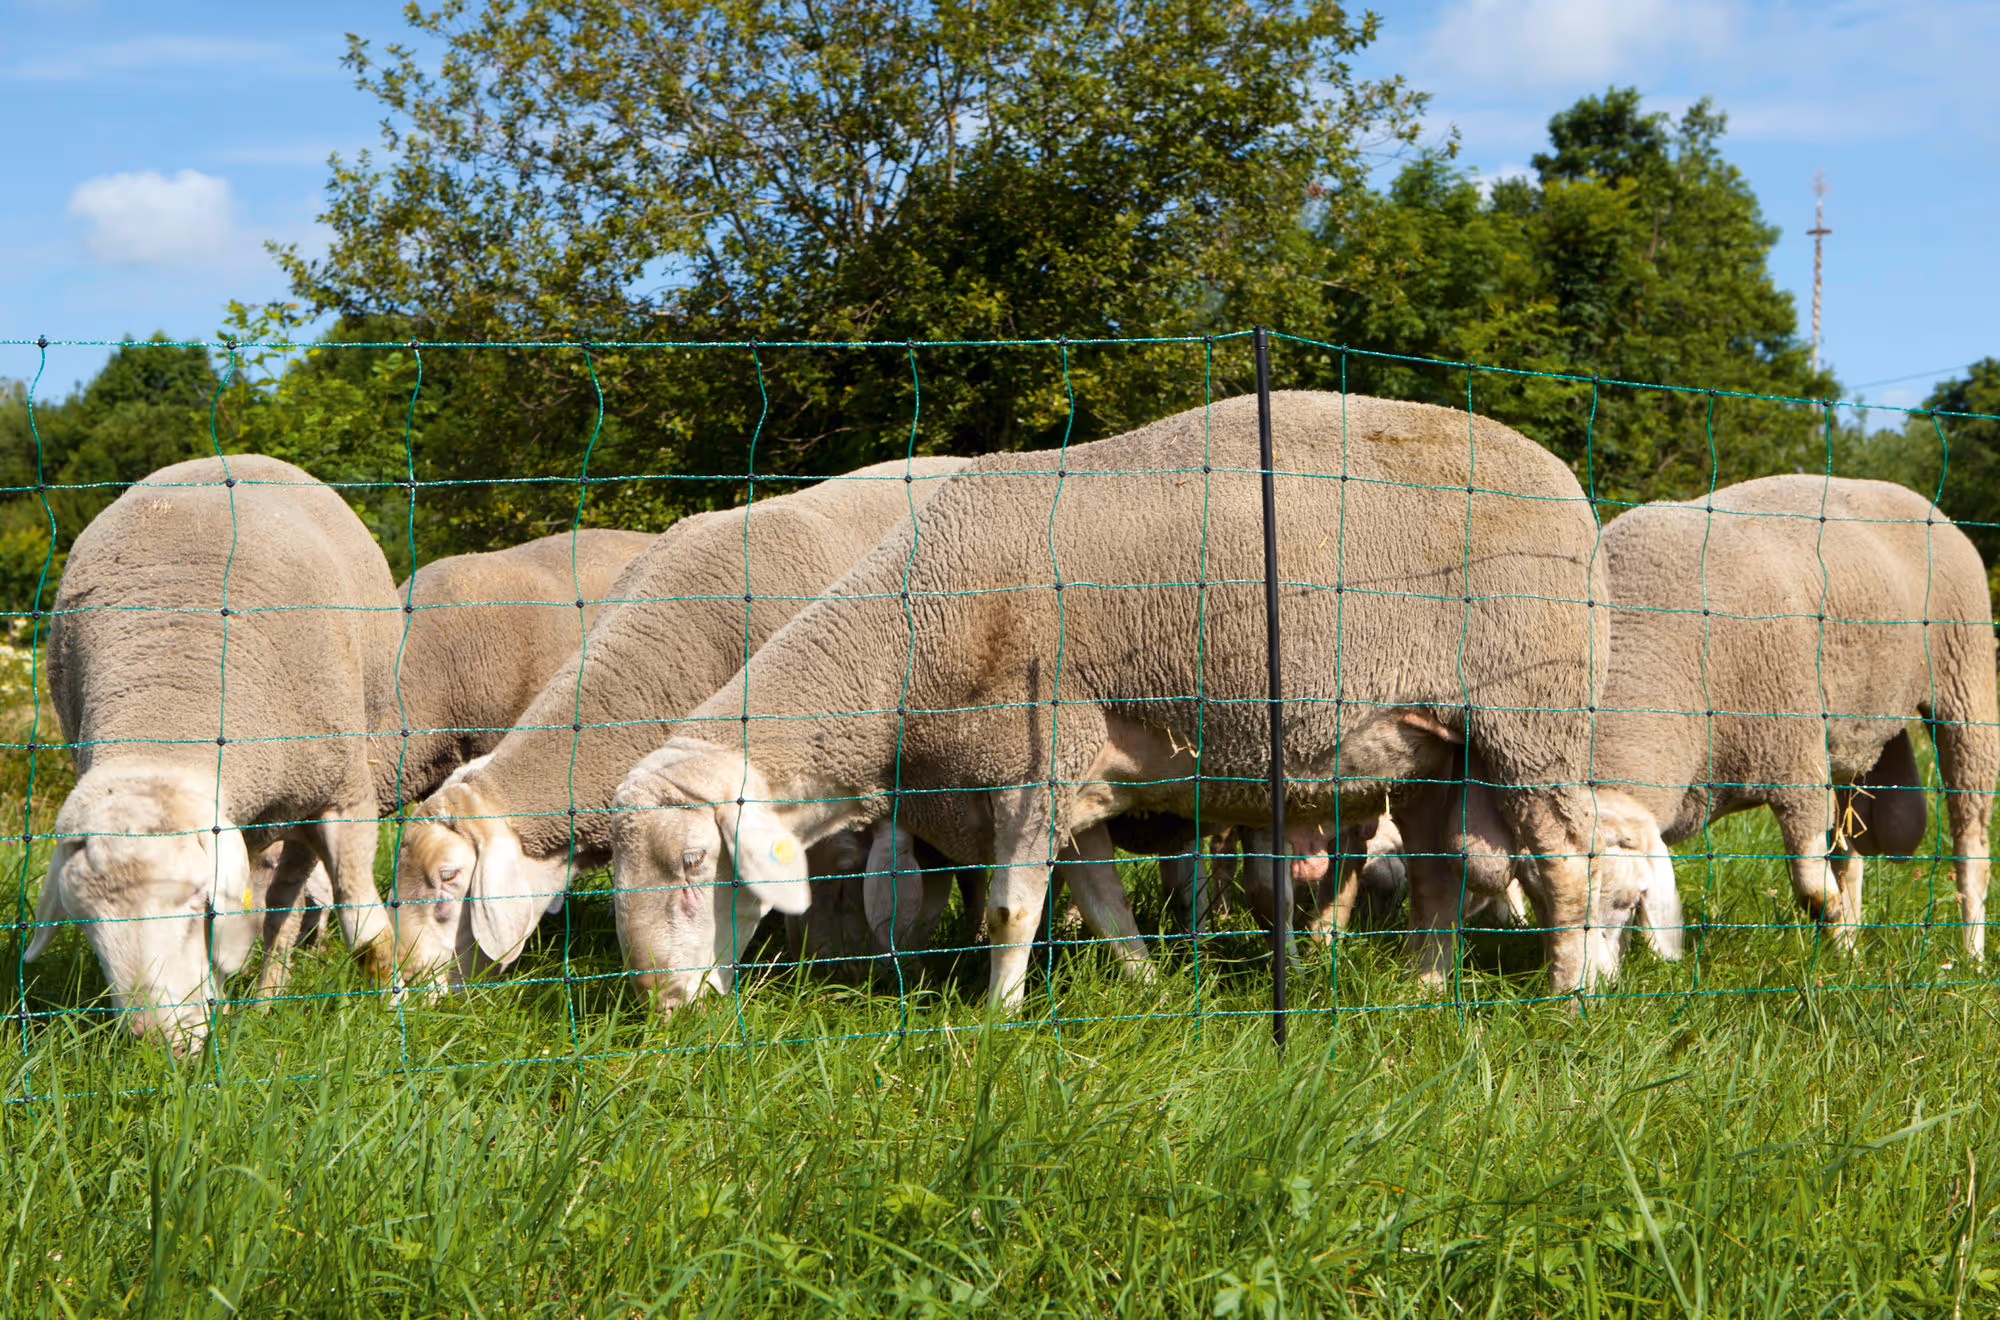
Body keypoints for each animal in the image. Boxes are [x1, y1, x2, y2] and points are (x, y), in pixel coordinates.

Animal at [26, 454, 404, 1050]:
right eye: (85, 923)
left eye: (197, 905)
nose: (157, 1044)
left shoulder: (343, 794)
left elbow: (366, 934)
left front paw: (396, 1019)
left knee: (286, 904)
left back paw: (269, 997)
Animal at [609, 389, 1616, 1014]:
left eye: (697, 864)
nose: (666, 1010)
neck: (908, 649)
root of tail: (1565, 482)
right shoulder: (1072, 783)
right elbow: (1099, 900)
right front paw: (1144, 985)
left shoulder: (1031, 761)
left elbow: (1010, 911)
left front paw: (996, 1020)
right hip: (1435, 744)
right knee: (1442, 871)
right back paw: (1424, 989)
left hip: (1534, 720)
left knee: (1566, 863)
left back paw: (1565, 997)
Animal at [1572, 475, 1997, 970]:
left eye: (1621, 899)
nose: (1584, 987)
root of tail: (1916, 498)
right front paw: (1846, 947)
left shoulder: (1796, 759)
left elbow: (1813, 889)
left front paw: (1835, 932)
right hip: (1851, 730)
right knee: (1850, 850)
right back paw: (1857, 954)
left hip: (1965, 683)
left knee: (1972, 846)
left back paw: (1972, 955)